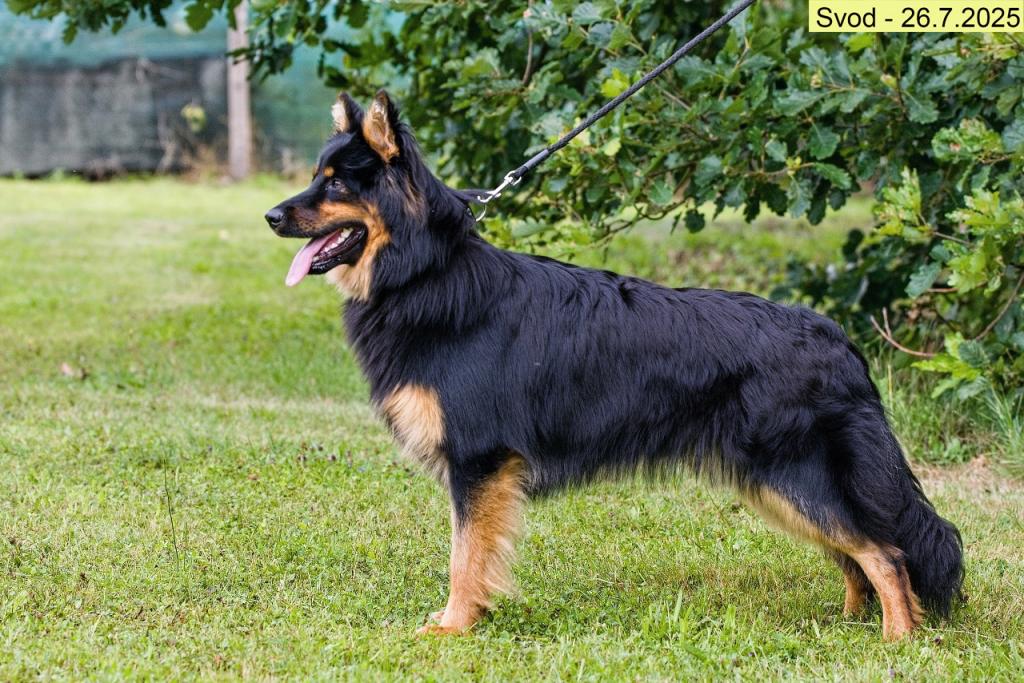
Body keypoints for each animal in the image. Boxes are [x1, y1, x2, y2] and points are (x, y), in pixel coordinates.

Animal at [265, 91, 963, 640]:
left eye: (337, 183)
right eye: (317, 175)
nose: (271, 215)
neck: (426, 273)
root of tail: (836, 337)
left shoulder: (478, 461)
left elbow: (465, 558)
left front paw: (453, 627)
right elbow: (474, 556)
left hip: (798, 476)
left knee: (886, 553)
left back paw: (897, 640)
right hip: (781, 486)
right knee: (857, 554)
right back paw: (850, 622)